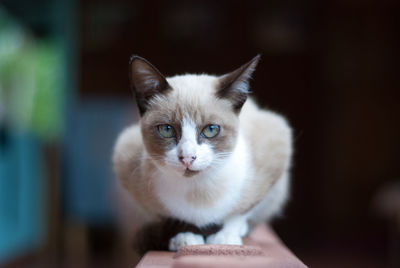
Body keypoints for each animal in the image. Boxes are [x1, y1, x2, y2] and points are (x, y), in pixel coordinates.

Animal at [111, 54, 292, 251]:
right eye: (166, 130)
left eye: (211, 130)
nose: (187, 158)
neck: (197, 192)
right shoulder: (124, 158)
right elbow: (174, 218)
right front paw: (184, 238)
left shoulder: (277, 147)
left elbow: (240, 212)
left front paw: (225, 238)